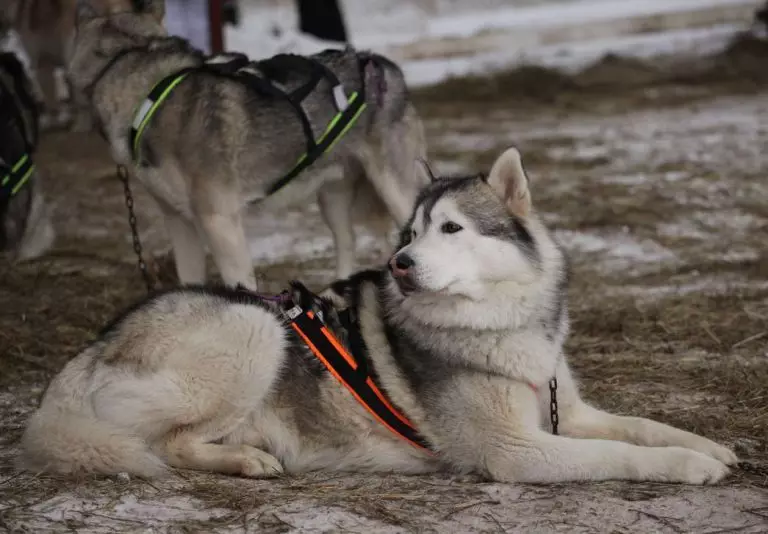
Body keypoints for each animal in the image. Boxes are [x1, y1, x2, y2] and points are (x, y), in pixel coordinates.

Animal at [19, 148, 736, 486]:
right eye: (409, 233)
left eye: (450, 228)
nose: (400, 263)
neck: (497, 327)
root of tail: (93, 347)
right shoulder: (518, 449)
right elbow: (621, 452)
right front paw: (688, 467)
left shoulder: (568, 411)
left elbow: (643, 426)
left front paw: (711, 446)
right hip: (255, 331)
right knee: (167, 445)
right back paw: (246, 460)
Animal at [69, 0, 428, 292]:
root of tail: (381, 62)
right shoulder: (179, 222)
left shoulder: (221, 223)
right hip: (331, 198)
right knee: (347, 242)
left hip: (395, 193)